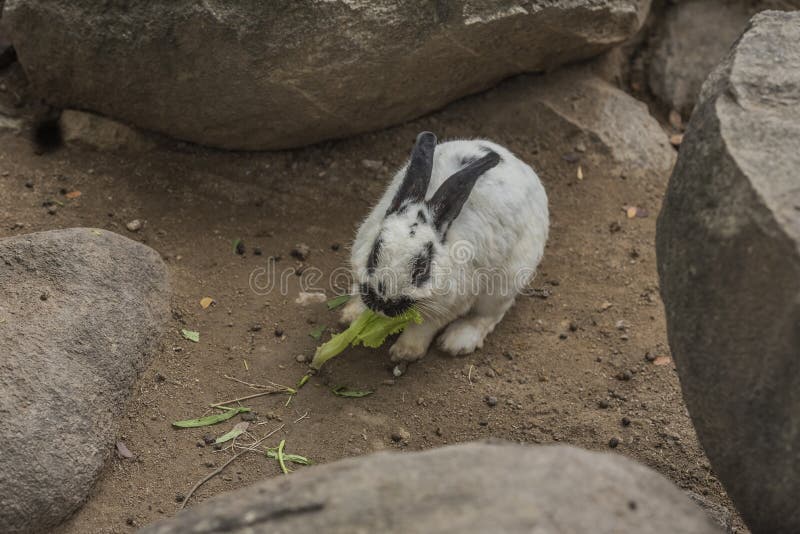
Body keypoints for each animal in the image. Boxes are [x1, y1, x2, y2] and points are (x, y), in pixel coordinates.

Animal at [341, 131, 548, 364]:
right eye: (374, 254)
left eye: (421, 268)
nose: (384, 303)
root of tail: (521, 165)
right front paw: (350, 315)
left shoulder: (450, 304)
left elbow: (424, 327)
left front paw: (405, 352)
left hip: (505, 283)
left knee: (489, 315)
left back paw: (457, 341)